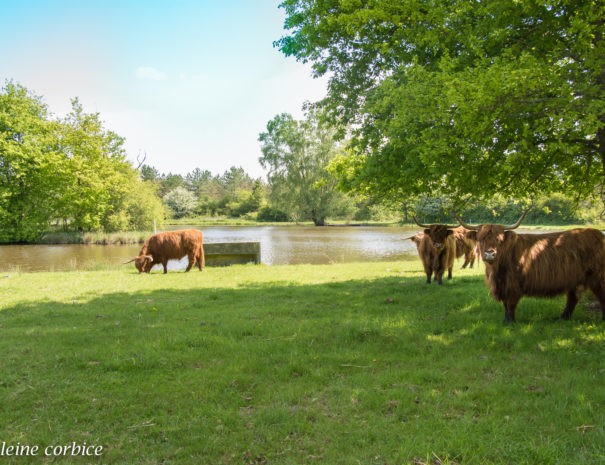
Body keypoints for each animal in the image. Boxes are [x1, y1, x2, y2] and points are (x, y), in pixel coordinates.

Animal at [460, 212, 604, 320]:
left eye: (499, 240)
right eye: (481, 239)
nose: (490, 254)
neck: (496, 271)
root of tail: (599, 235)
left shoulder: (513, 285)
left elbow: (510, 304)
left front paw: (510, 322)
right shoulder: (503, 286)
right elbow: (505, 305)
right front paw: (506, 320)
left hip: (598, 277)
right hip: (574, 279)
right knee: (572, 299)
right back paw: (562, 318)